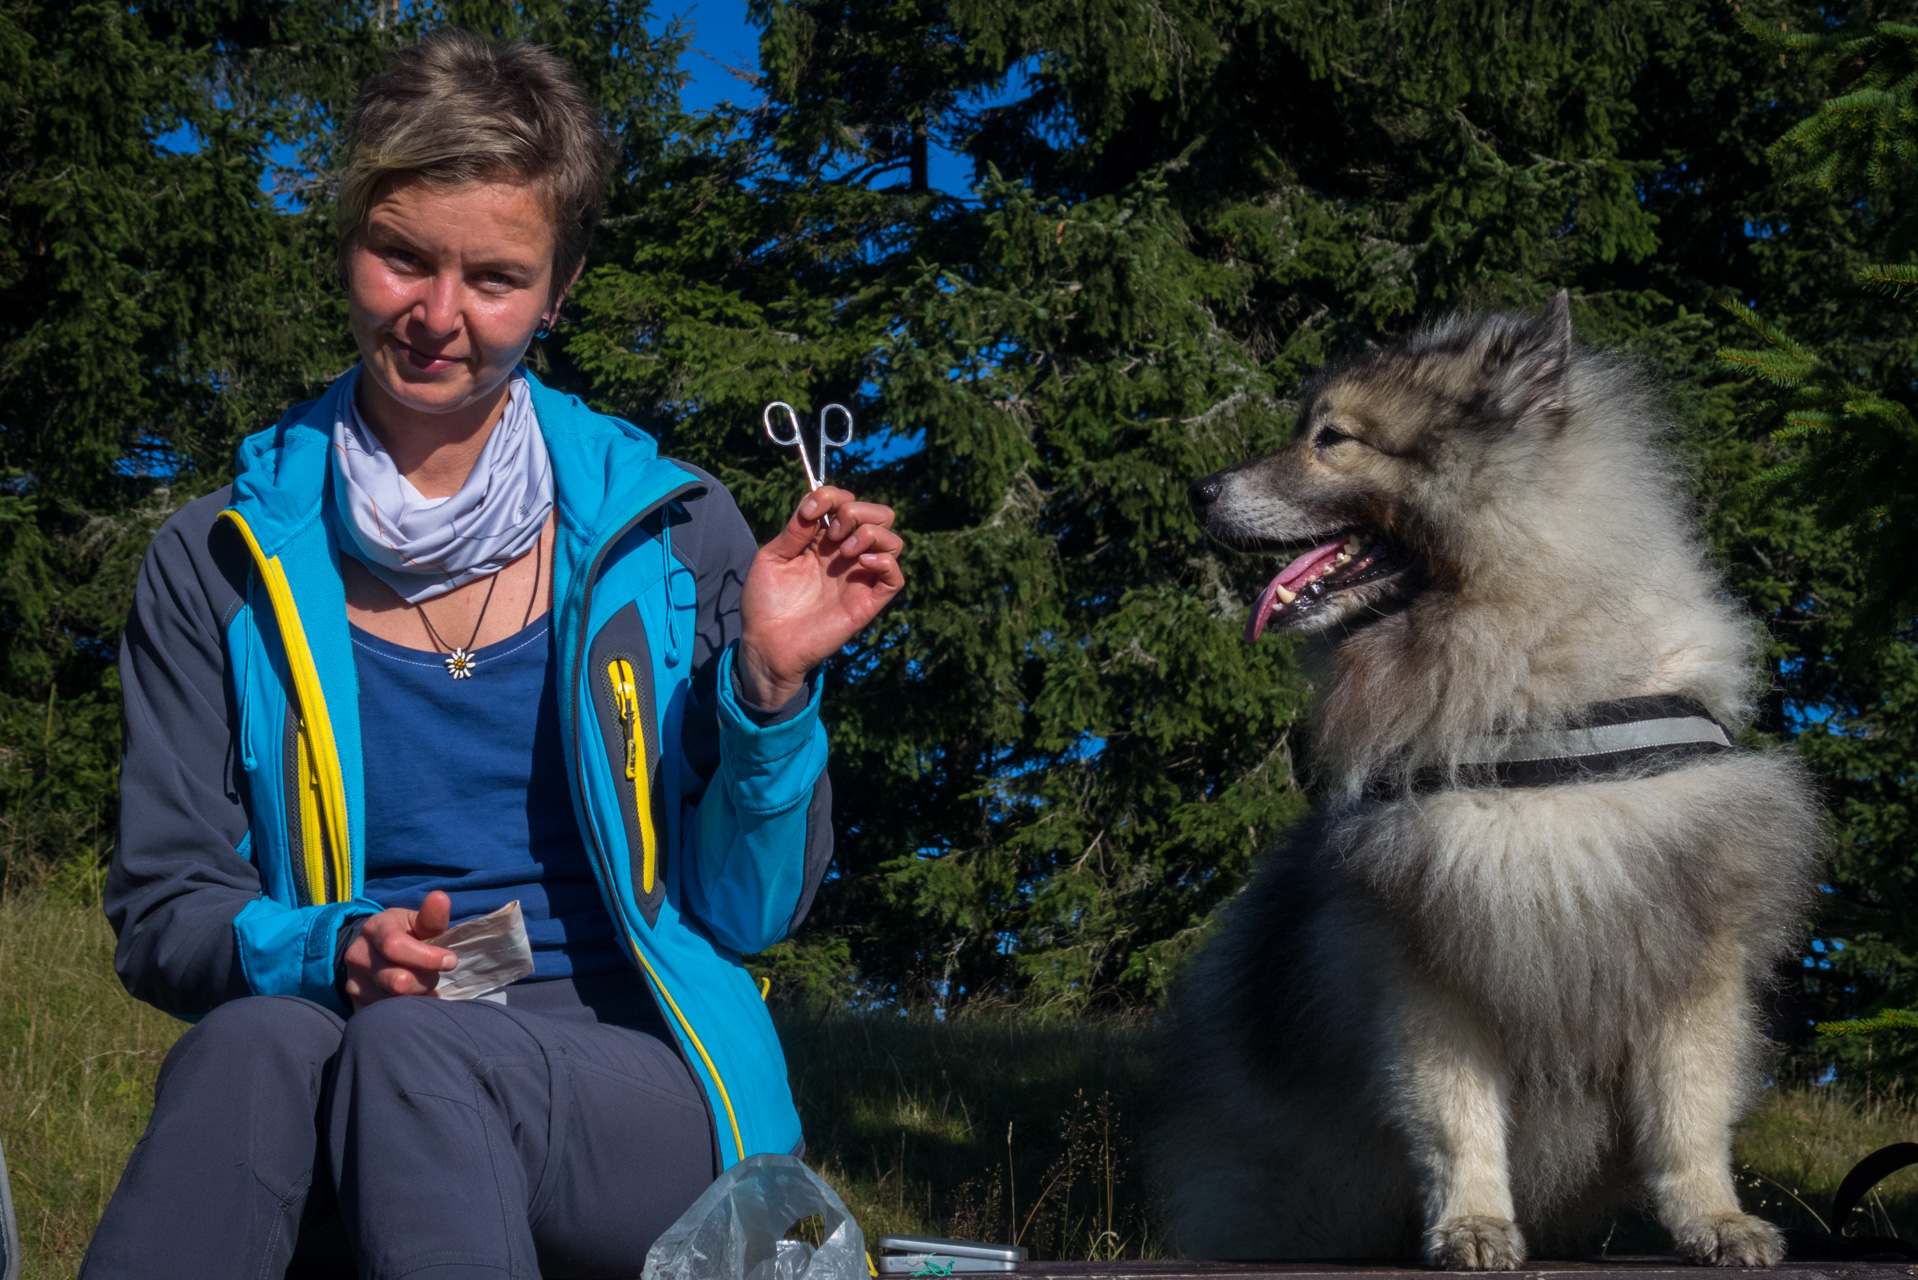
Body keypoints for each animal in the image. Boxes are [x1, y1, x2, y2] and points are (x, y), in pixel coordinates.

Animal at [1150, 297, 1825, 1274]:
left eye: (1332, 439)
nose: (1199, 489)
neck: (1527, 675)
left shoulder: (1692, 953)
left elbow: (1689, 1118)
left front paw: (1715, 1220)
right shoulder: (1427, 956)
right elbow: (1456, 1119)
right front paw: (1471, 1225)